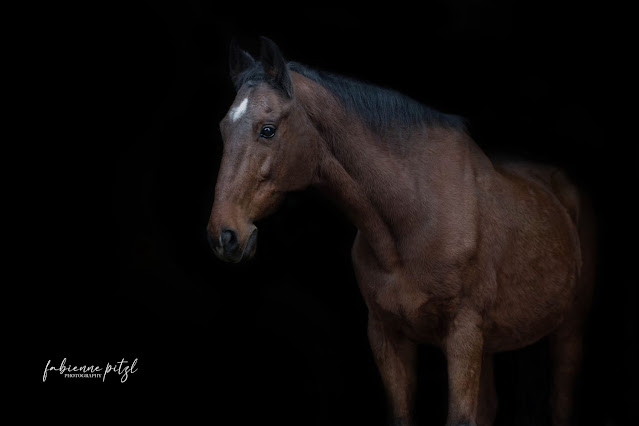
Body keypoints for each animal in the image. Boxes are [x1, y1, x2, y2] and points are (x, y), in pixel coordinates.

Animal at [208, 37, 596, 426]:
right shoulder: (387, 336)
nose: (223, 236)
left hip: (567, 330)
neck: (415, 218)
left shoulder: (464, 334)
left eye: (267, 129)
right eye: (224, 129)